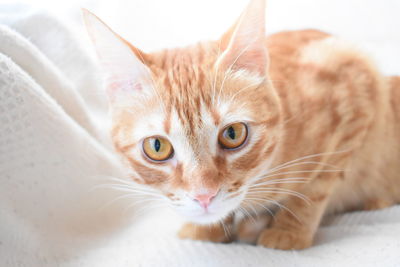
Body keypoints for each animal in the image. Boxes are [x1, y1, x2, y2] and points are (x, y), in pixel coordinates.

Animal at [82, 0, 400, 251]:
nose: (204, 196)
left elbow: (316, 186)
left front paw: (289, 231)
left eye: (233, 134)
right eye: (157, 147)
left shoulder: (355, 80)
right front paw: (207, 230)